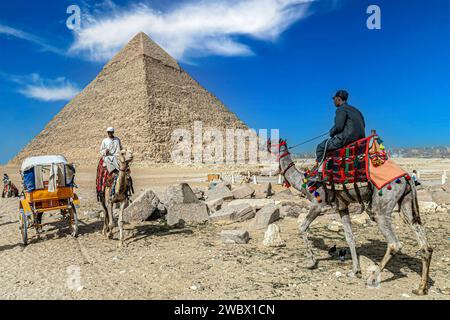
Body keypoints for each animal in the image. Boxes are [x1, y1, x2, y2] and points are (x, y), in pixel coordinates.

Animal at [268, 138, 434, 296]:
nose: (267, 144)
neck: (305, 182)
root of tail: (407, 178)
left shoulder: (317, 204)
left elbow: (302, 227)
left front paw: (311, 263)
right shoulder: (342, 207)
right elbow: (349, 237)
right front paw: (355, 271)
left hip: (381, 206)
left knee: (394, 243)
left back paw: (371, 278)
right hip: (406, 202)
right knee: (422, 239)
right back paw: (421, 288)